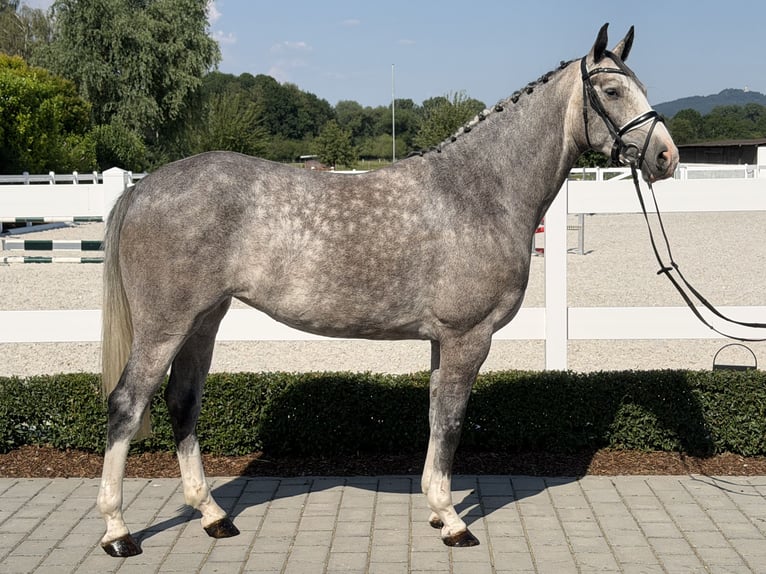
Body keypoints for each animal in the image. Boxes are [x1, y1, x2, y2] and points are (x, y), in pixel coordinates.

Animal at [97, 23, 679, 557]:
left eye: (641, 86)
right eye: (611, 91)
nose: (666, 158)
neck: (479, 191)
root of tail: (144, 188)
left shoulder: (443, 341)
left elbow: (435, 417)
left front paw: (437, 510)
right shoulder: (469, 338)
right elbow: (451, 422)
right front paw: (454, 522)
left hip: (204, 319)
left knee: (182, 401)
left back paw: (213, 515)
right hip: (165, 324)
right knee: (127, 404)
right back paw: (118, 532)